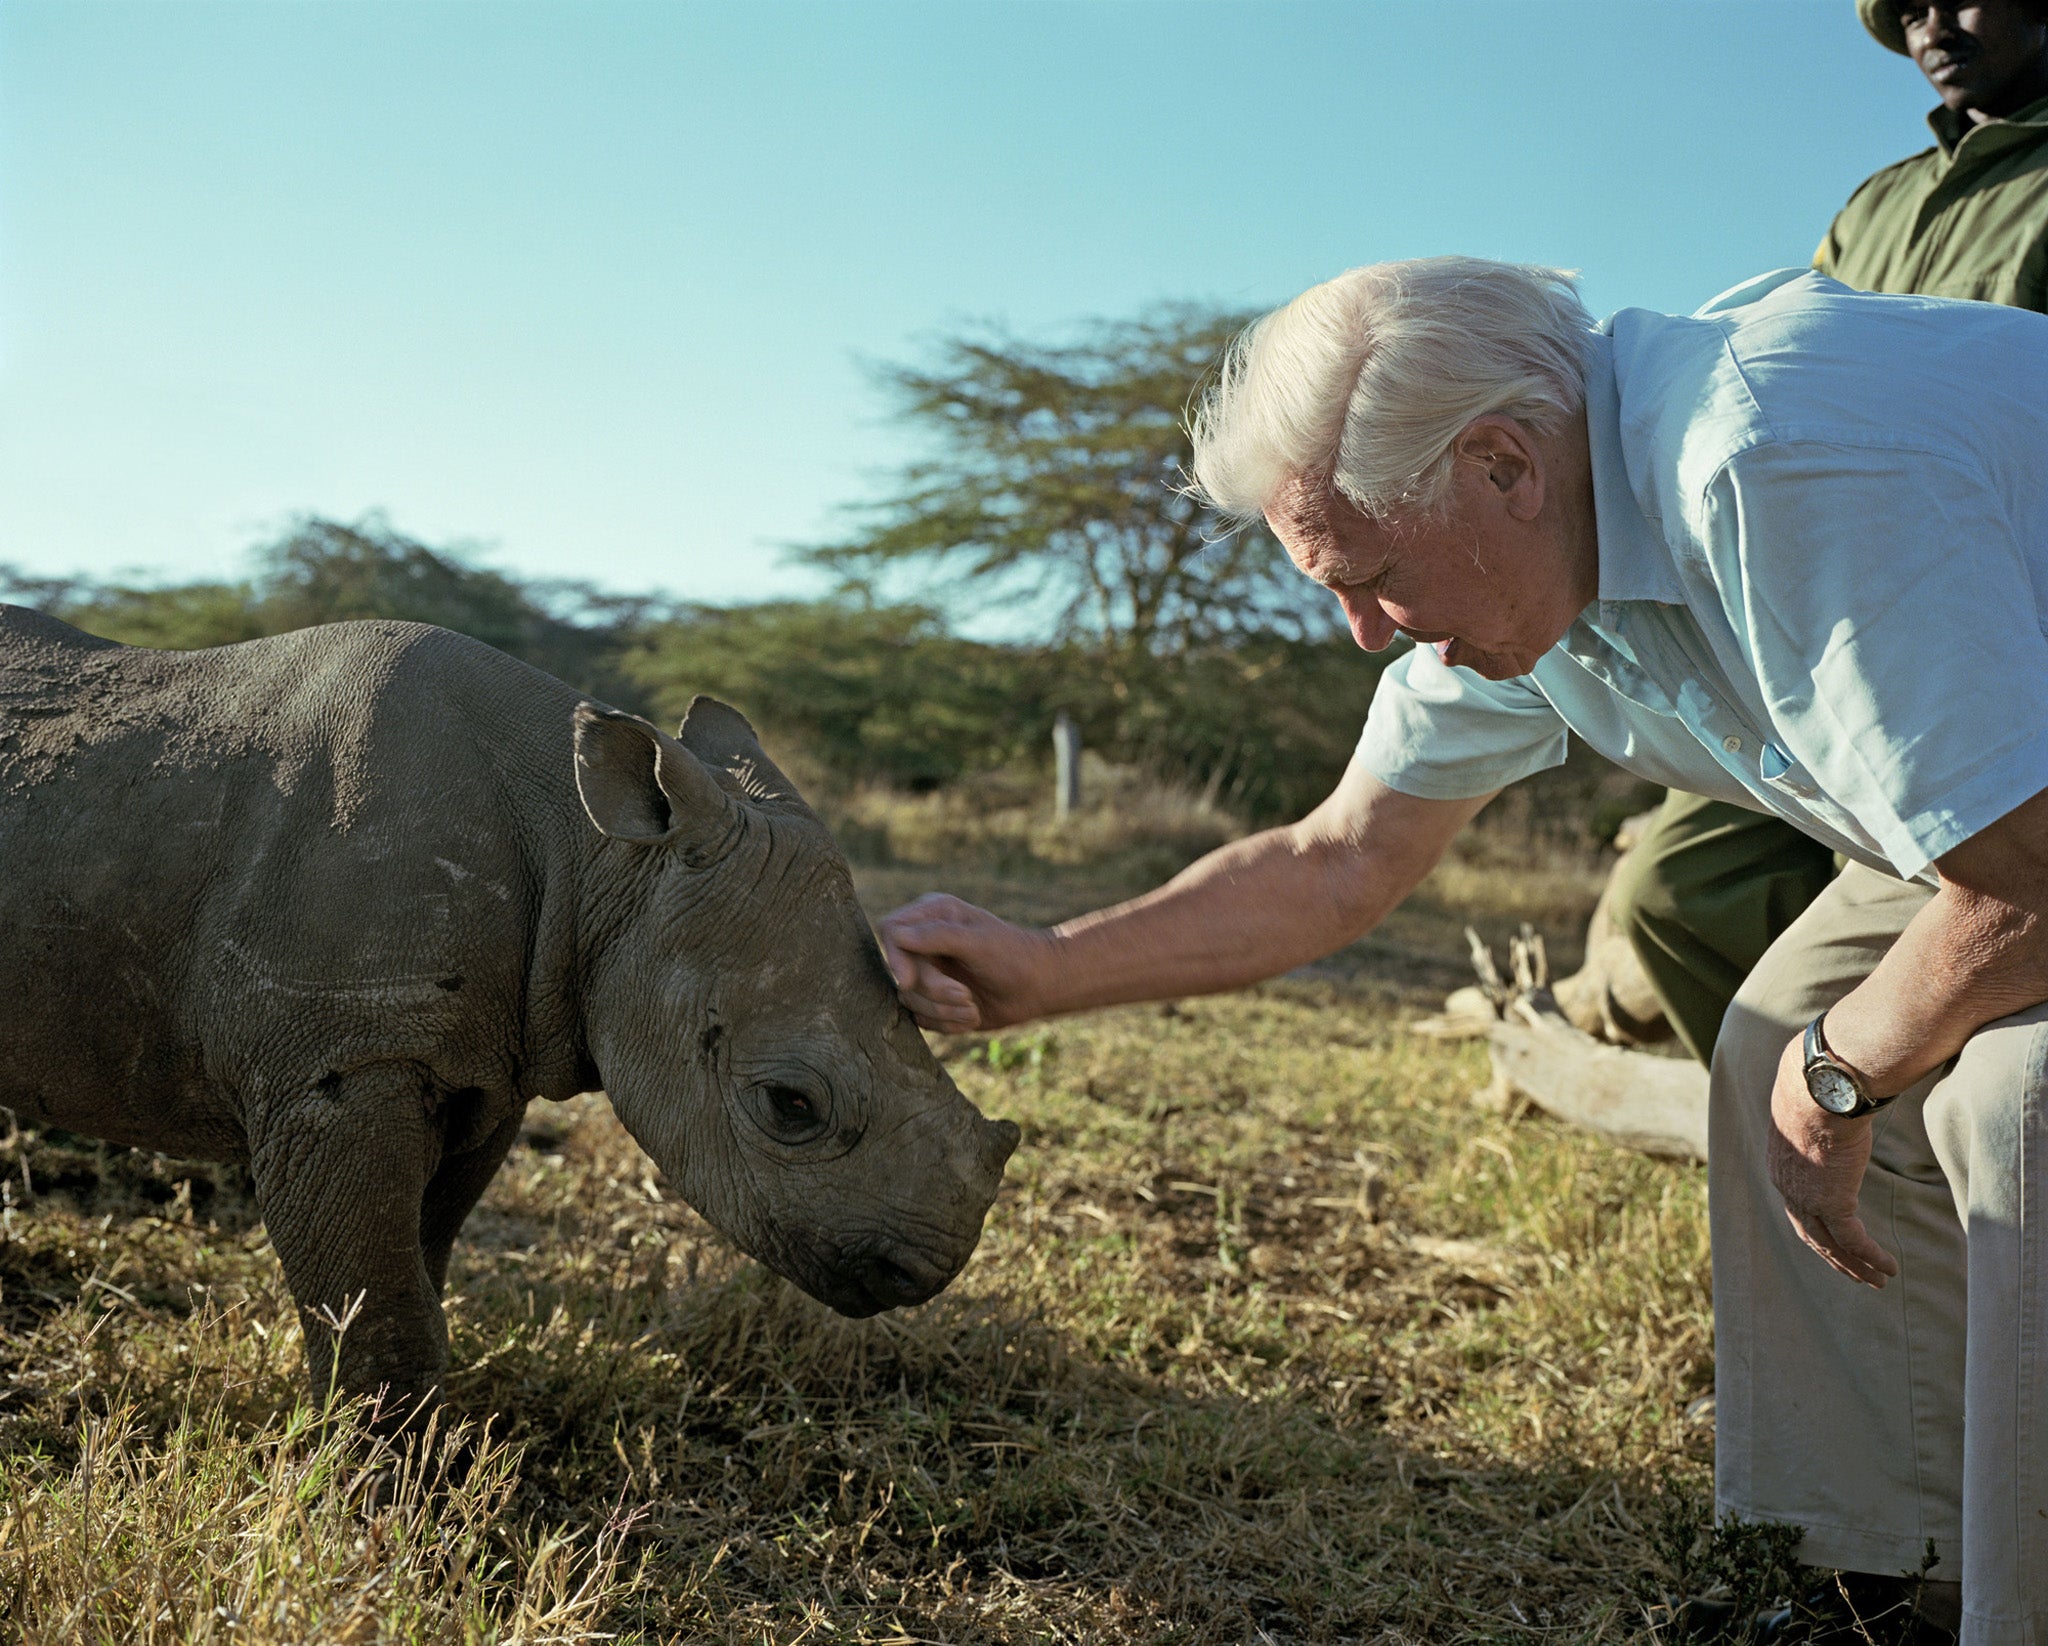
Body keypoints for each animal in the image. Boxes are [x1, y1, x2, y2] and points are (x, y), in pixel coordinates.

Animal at [0, 605, 1019, 1416]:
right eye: (791, 1107)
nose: (930, 1269)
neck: (599, 858)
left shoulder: (482, 1069)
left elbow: (421, 1261)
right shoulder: (340, 1065)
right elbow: (377, 1304)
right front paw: (379, 1495)